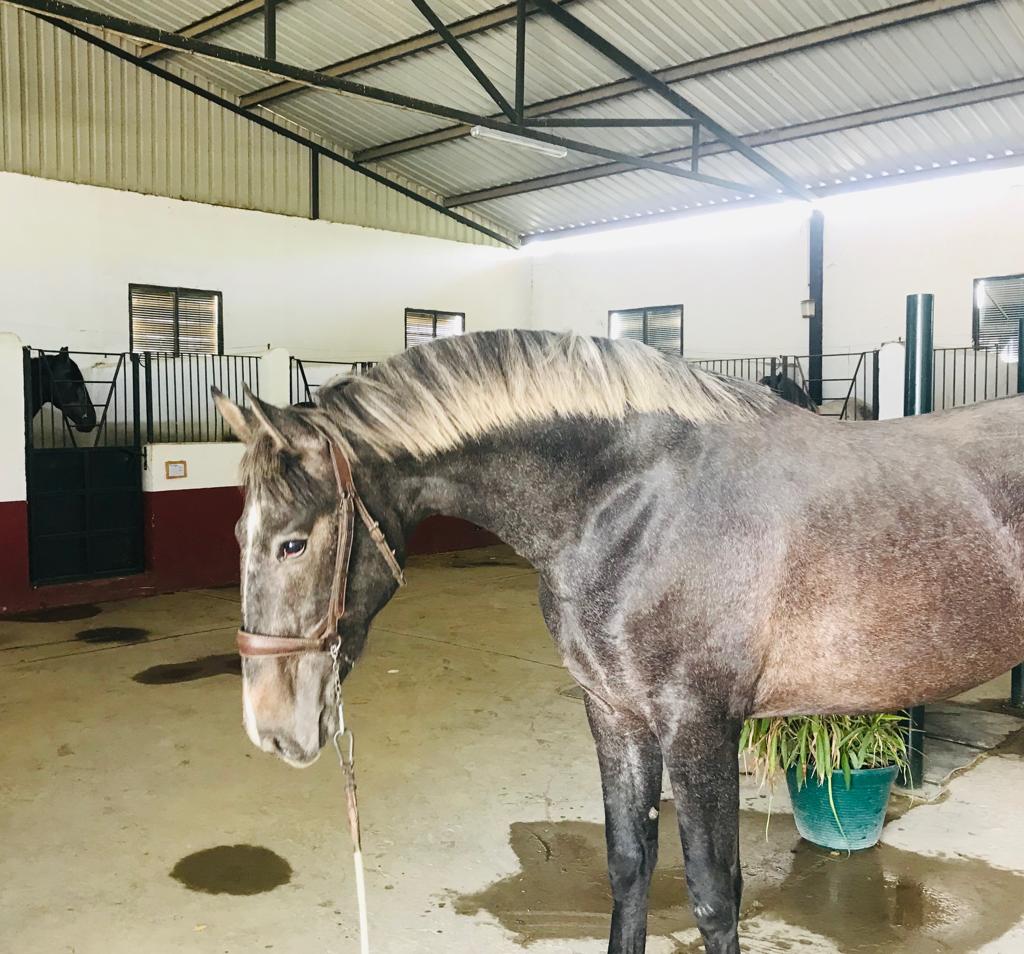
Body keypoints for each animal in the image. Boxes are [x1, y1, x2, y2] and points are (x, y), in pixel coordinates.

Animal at [211, 329, 1024, 953]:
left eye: (292, 543)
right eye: (237, 533)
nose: (270, 727)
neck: (633, 502)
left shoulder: (698, 727)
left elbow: (713, 893)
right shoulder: (614, 715)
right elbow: (630, 867)